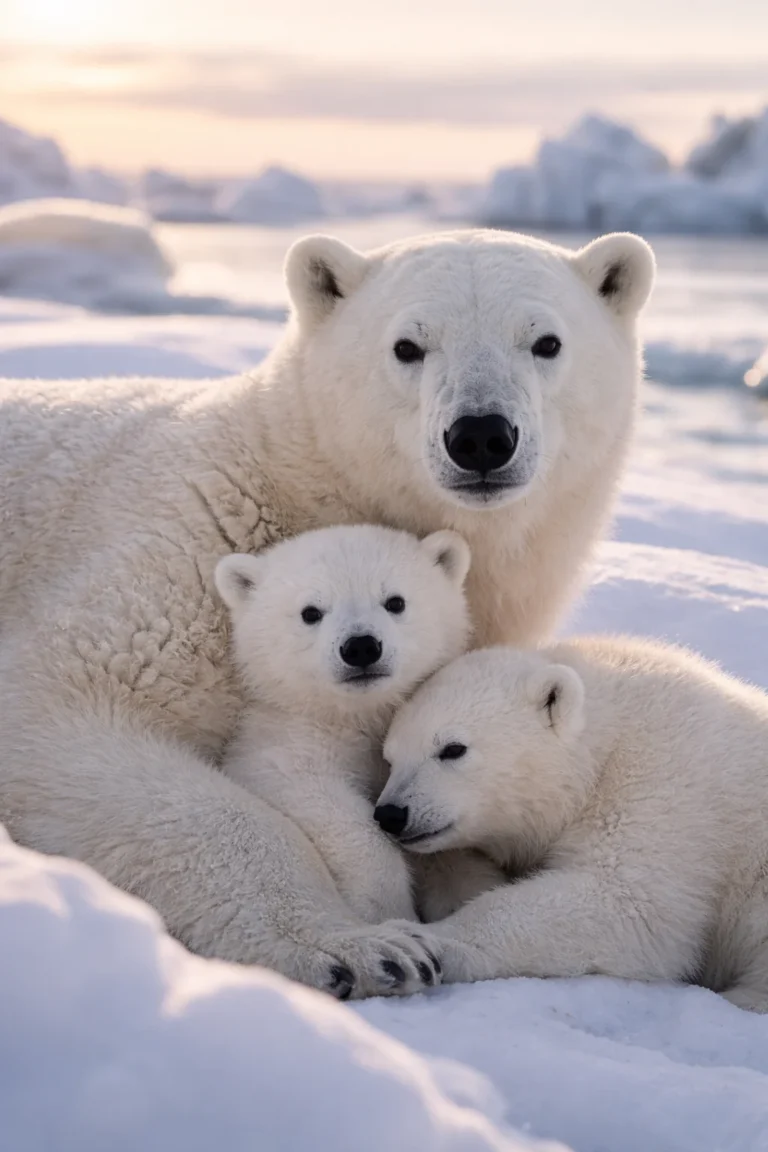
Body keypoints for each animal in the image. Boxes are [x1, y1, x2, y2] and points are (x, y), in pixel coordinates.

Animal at [0, 227, 654, 998]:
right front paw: (362, 946)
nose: (481, 436)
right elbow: (61, 717)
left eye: (546, 341)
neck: (295, 477)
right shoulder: (180, 548)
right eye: (408, 345)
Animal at [377, 636, 768, 1011]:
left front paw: (421, 945)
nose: (391, 814)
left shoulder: (666, 787)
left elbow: (629, 903)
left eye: (453, 748)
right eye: (390, 758)